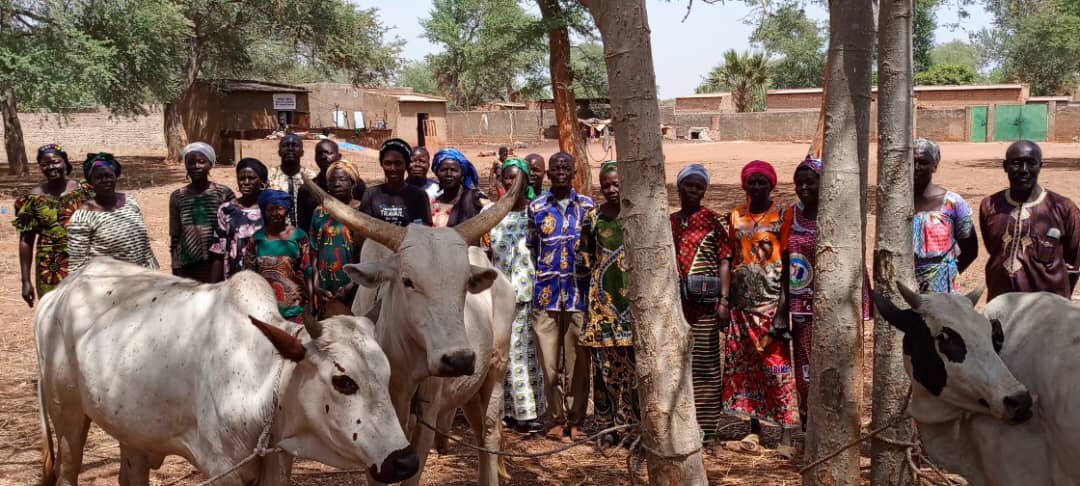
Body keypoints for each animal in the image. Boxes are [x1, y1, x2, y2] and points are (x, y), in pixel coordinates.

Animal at [36, 260, 416, 483]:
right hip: (67, 417)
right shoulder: (222, 470)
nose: (405, 461)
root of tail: (59, 291)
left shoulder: (277, 463)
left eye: (386, 375)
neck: (266, 380)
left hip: (131, 431)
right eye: (344, 381)